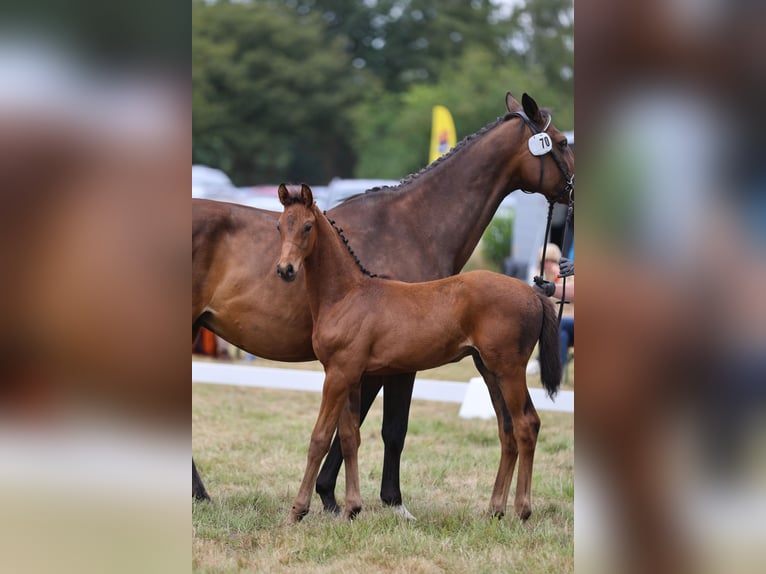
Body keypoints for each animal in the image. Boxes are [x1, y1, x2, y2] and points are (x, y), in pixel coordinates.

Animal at [278, 186, 564, 528]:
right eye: (280, 226)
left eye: (307, 227)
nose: (285, 269)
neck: (347, 295)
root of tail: (534, 292)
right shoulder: (351, 376)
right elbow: (349, 438)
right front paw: (351, 509)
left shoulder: (338, 375)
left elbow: (319, 439)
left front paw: (297, 511)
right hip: (489, 370)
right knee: (507, 430)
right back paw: (494, 510)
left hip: (509, 370)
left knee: (526, 425)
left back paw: (522, 509)